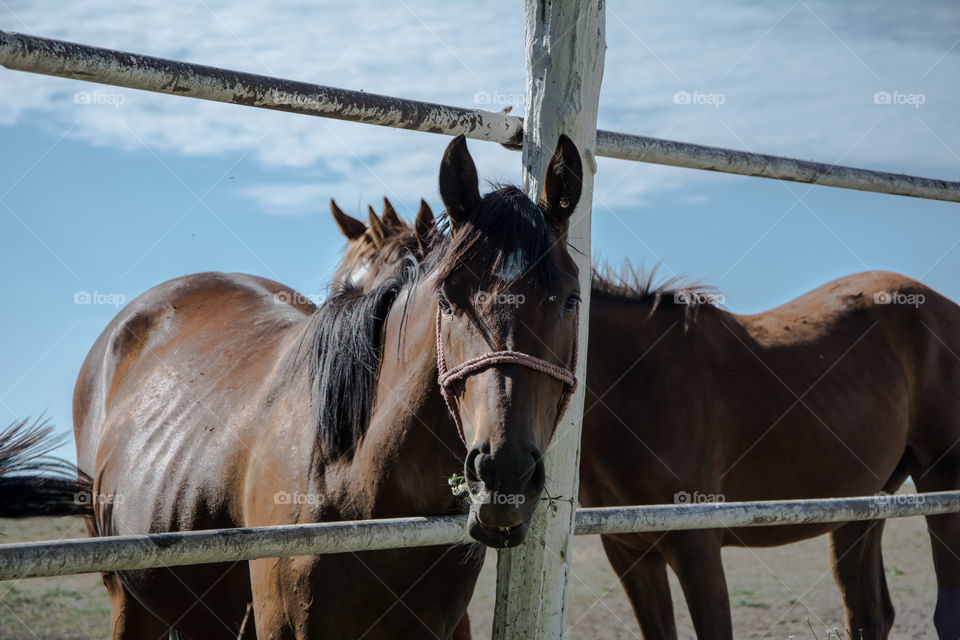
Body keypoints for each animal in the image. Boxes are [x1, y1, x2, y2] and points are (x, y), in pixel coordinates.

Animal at [334, 209, 960, 636]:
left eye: (404, 289)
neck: (636, 390)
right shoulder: (631, 552)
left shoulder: (698, 546)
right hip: (862, 508)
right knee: (870, 612)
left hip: (939, 484)